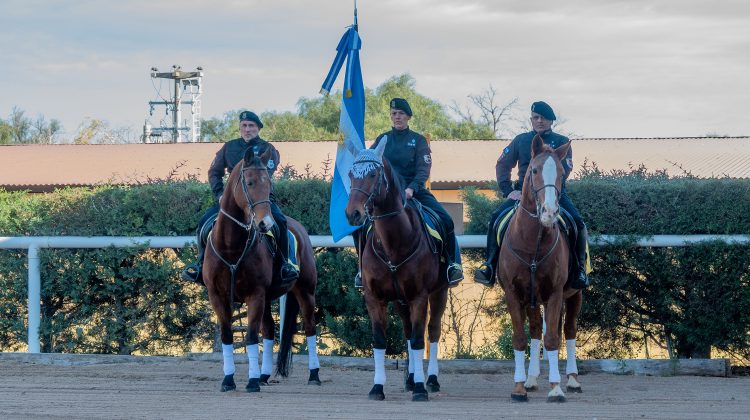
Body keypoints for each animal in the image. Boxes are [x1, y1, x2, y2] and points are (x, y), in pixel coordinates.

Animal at [204, 145, 322, 394]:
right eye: (249, 183)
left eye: (269, 184)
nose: (265, 223)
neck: (232, 247)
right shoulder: (217, 296)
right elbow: (228, 336)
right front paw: (229, 380)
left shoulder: (255, 294)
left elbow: (250, 337)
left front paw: (251, 381)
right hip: (269, 297)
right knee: (269, 330)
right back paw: (265, 374)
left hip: (305, 291)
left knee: (309, 327)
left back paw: (314, 374)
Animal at [346, 137, 446, 400]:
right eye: (350, 174)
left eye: (373, 174)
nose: (353, 214)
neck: (394, 243)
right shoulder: (374, 298)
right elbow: (381, 341)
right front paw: (377, 387)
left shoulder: (420, 296)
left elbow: (420, 340)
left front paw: (420, 389)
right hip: (401, 301)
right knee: (408, 332)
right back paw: (410, 379)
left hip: (439, 292)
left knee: (432, 332)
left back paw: (431, 380)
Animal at [500, 135, 588, 404]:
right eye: (534, 170)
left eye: (561, 172)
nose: (549, 212)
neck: (533, 242)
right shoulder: (514, 294)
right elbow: (521, 338)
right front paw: (519, 386)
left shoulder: (555, 293)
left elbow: (553, 339)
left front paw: (556, 388)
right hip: (532, 299)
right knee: (537, 330)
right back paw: (531, 379)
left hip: (574, 295)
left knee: (568, 331)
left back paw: (572, 379)